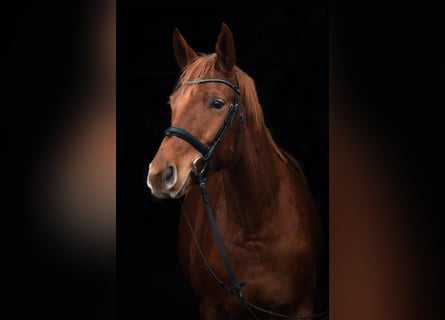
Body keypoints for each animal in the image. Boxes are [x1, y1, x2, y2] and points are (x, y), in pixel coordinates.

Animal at [147, 23, 324, 320]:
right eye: (172, 103)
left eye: (217, 103)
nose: (160, 174)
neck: (255, 229)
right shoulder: (212, 308)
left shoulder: (300, 308)